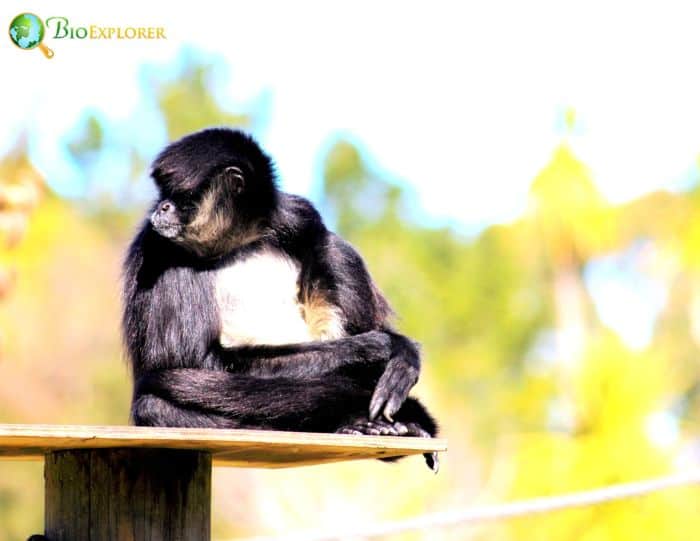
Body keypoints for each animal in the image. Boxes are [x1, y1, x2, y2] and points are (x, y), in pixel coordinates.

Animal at [122, 128, 439, 470]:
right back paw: (352, 421)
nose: (162, 207)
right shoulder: (160, 247)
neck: (240, 243)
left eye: (180, 196)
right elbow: (193, 362)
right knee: (155, 404)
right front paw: (384, 348)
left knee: (331, 248)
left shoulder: (297, 213)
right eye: (163, 194)